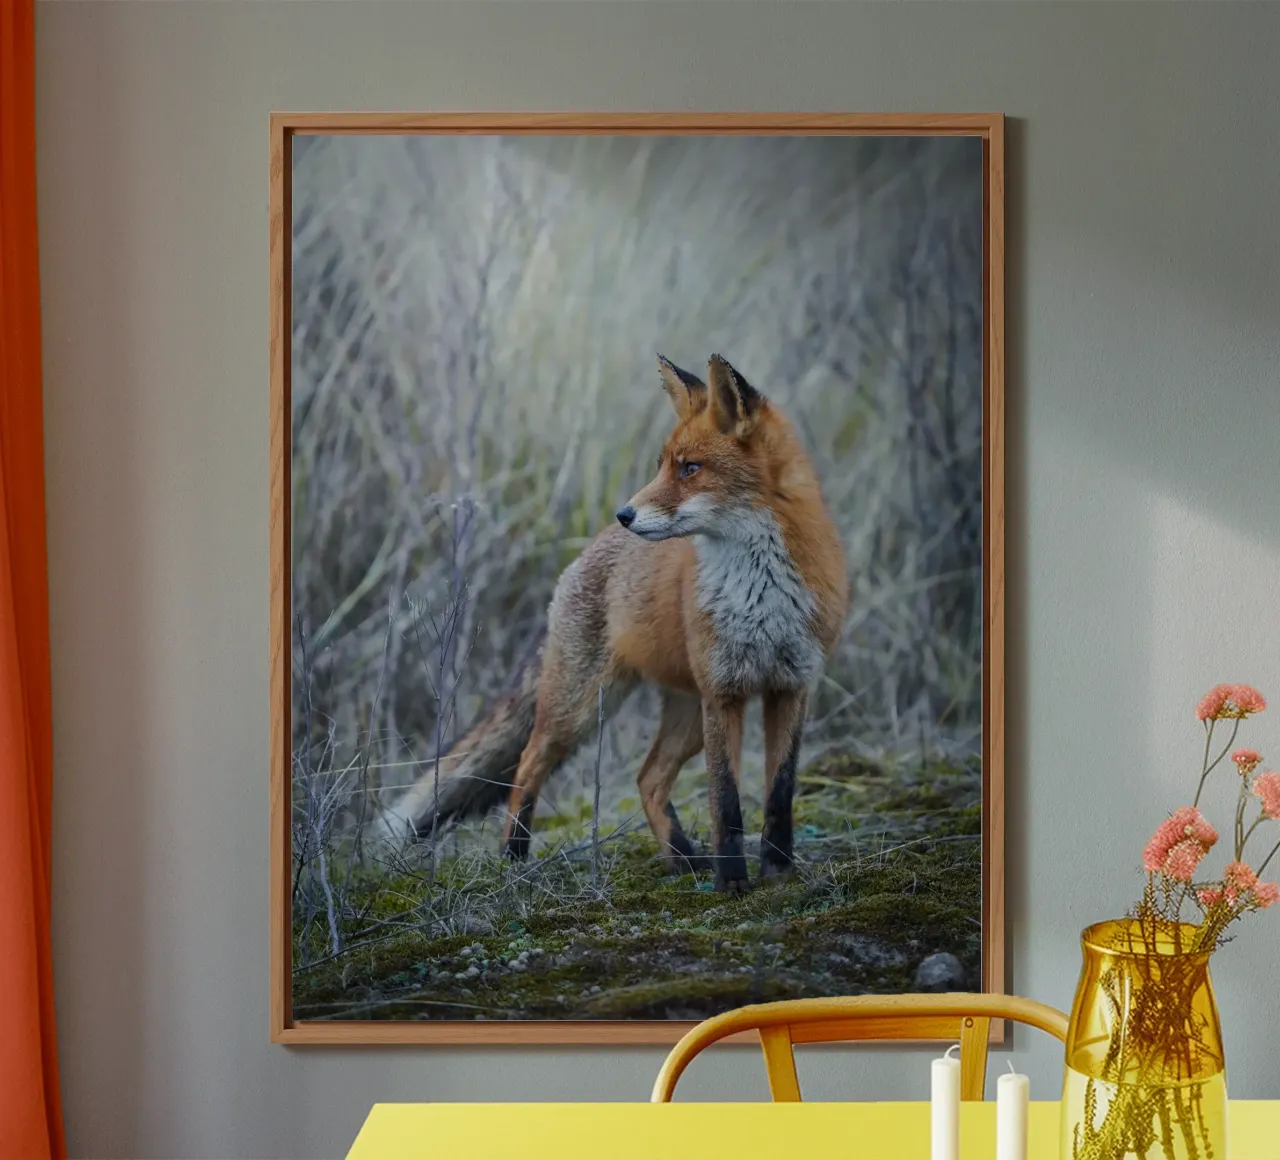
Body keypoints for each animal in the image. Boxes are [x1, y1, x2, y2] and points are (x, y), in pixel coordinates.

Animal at [383, 354, 848, 893]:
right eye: (662, 465)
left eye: (690, 468)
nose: (625, 513)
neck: (761, 593)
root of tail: (588, 549)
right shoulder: (724, 693)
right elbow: (726, 803)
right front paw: (732, 882)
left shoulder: (791, 686)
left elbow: (779, 793)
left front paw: (778, 871)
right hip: (582, 707)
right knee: (528, 764)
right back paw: (514, 857)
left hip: (687, 716)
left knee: (648, 778)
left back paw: (682, 858)